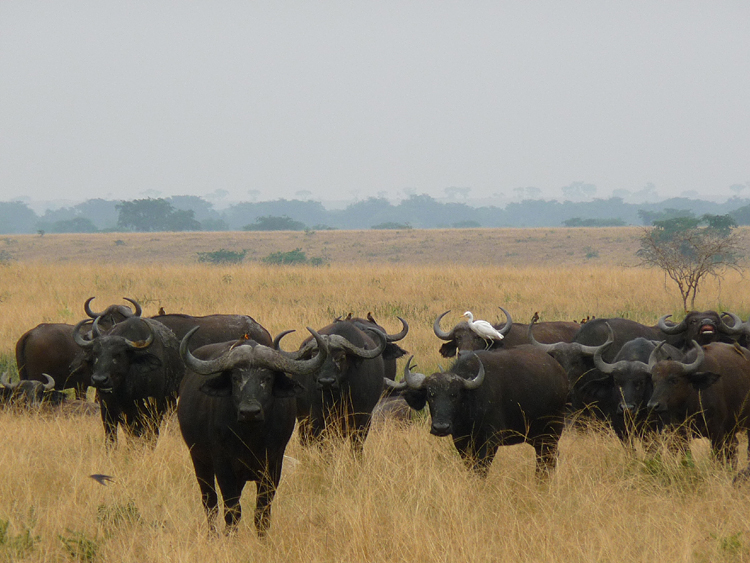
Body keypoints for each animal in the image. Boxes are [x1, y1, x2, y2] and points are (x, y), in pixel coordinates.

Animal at [74, 318, 185, 446]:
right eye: (95, 353)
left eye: (117, 355)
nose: (99, 379)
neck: (125, 392)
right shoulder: (108, 412)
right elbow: (112, 439)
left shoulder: (152, 410)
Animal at [179, 326, 328, 536]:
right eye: (235, 378)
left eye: (267, 378)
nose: (249, 411)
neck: (251, 437)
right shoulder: (223, 466)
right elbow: (232, 510)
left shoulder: (273, 466)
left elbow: (262, 511)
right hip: (199, 459)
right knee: (209, 502)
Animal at [390, 350, 568, 478]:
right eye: (430, 395)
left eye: (455, 395)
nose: (441, 428)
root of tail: (560, 372)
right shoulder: (461, 441)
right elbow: (470, 467)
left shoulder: (490, 441)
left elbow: (481, 469)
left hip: (552, 432)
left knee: (547, 459)